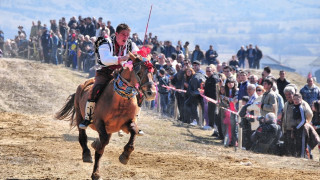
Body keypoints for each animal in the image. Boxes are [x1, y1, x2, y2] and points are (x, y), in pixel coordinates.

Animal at [56, 52, 159, 180]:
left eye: (152, 72)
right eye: (139, 72)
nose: (152, 93)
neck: (120, 100)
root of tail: (84, 84)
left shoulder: (126, 124)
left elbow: (134, 132)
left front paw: (125, 155)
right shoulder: (99, 122)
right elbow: (101, 146)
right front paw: (95, 173)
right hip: (80, 116)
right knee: (83, 136)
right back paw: (86, 154)